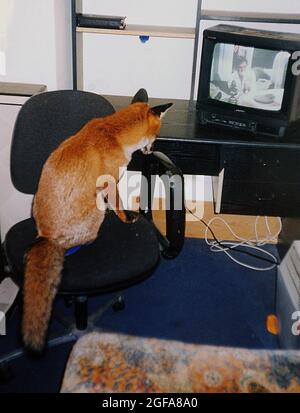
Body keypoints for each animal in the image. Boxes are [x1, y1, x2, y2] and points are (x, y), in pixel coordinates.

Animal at [22, 90, 172, 350]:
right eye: (156, 136)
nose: (151, 151)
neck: (114, 134)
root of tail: (45, 236)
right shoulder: (111, 181)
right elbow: (119, 205)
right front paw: (127, 219)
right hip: (95, 211)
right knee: (80, 241)